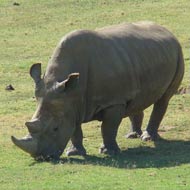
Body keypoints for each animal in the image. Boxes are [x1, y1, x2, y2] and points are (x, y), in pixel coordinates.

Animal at [11, 21, 183, 160]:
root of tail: (167, 31)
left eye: (55, 128)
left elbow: (108, 128)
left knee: (163, 99)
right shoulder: (70, 102)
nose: (42, 157)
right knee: (136, 99)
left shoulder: (113, 101)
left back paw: (148, 138)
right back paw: (132, 135)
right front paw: (73, 153)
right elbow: (75, 129)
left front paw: (108, 152)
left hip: (178, 52)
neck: (72, 90)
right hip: (142, 57)